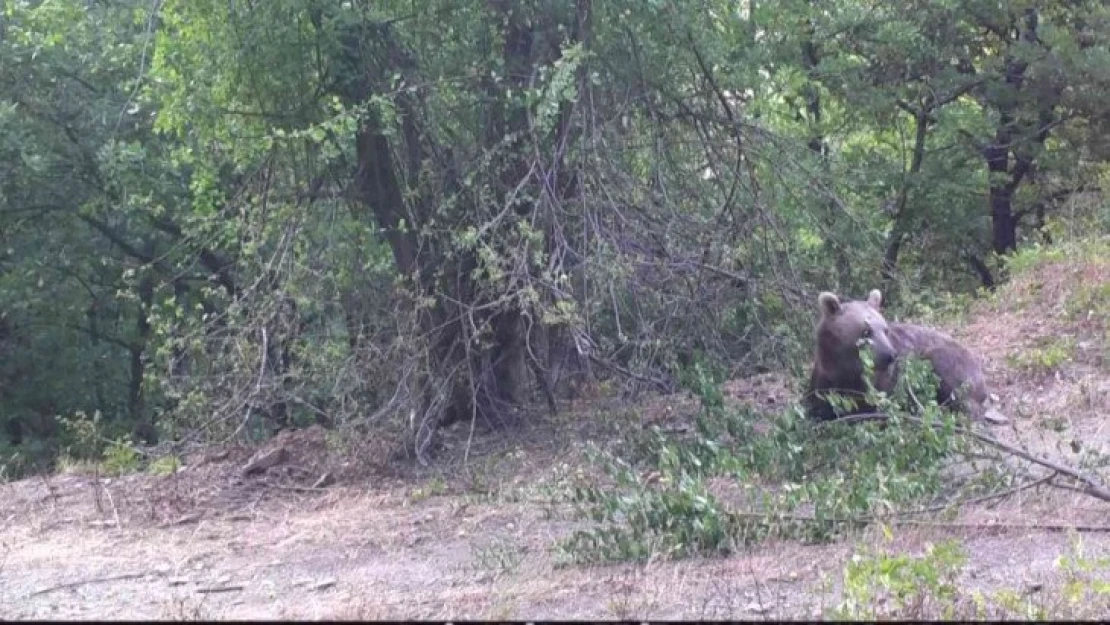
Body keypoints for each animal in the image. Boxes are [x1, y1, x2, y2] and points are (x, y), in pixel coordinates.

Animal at [803, 290, 1012, 428]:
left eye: (885, 329)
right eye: (866, 331)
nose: (890, 355)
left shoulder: (882, 385)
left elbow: (872, 407)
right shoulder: (824, 380)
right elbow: (817, 404)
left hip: (948, 360)